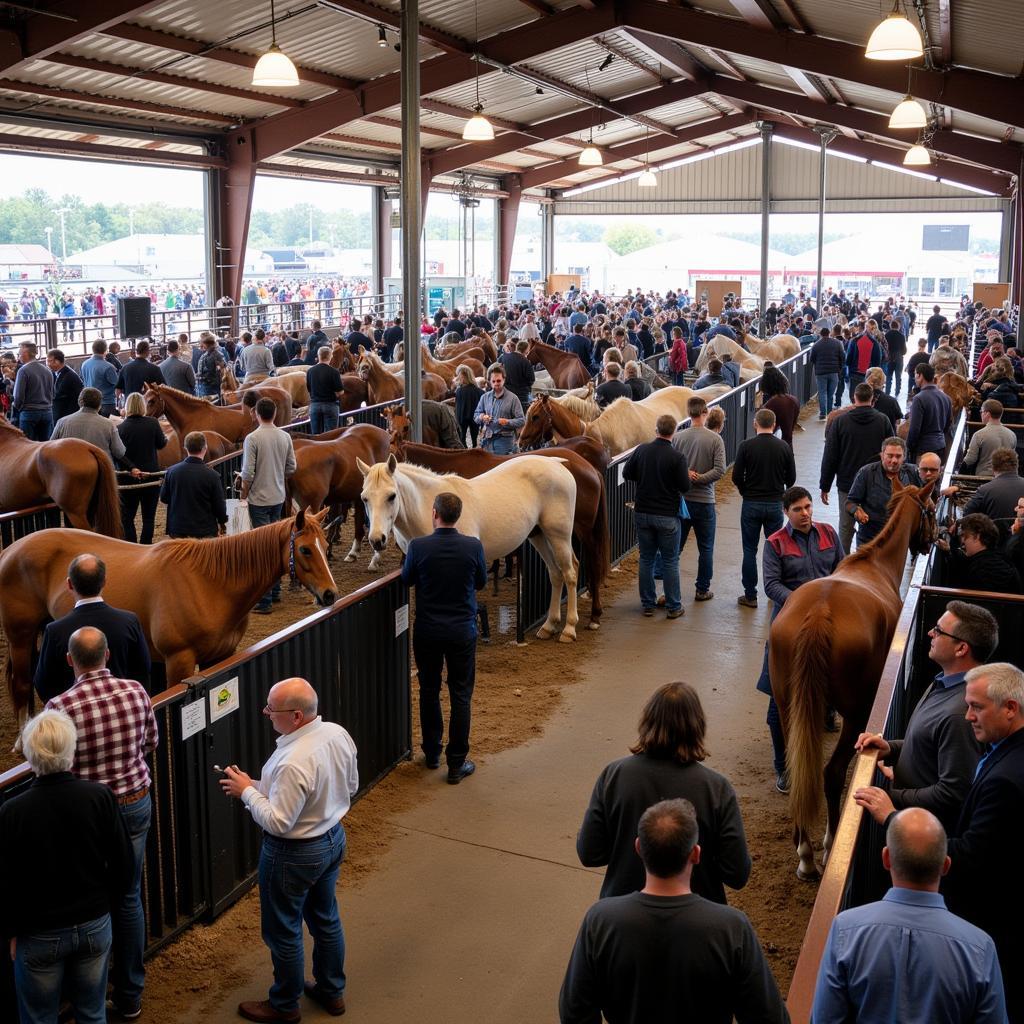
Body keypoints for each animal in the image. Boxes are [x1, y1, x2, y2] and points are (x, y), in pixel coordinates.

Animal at [0, 509, 337, 720]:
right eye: (305, 549)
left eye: (325, 544)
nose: (330, 594)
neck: (210, 584)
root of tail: (11, 550)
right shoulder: (179, 661)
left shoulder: (220, 657)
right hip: (21, 636)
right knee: (21, 683)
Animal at [360, 454, 585, 638]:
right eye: (364, 498)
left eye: (391, 496)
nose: (377, 539)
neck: (426, 509)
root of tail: (556, 463)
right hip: (538, 535)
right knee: (555, 573)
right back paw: (549, 625)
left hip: (559, 535)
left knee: (570, 572)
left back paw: (569, 629)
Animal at [774, 475, 937, 876]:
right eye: (930, 508)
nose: (934, 538)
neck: (874, 563)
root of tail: (818, 614)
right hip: (858, 711)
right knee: (831, 773)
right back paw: (827, 845)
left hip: (788, 705)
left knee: (800, 768)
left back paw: (803, 850)